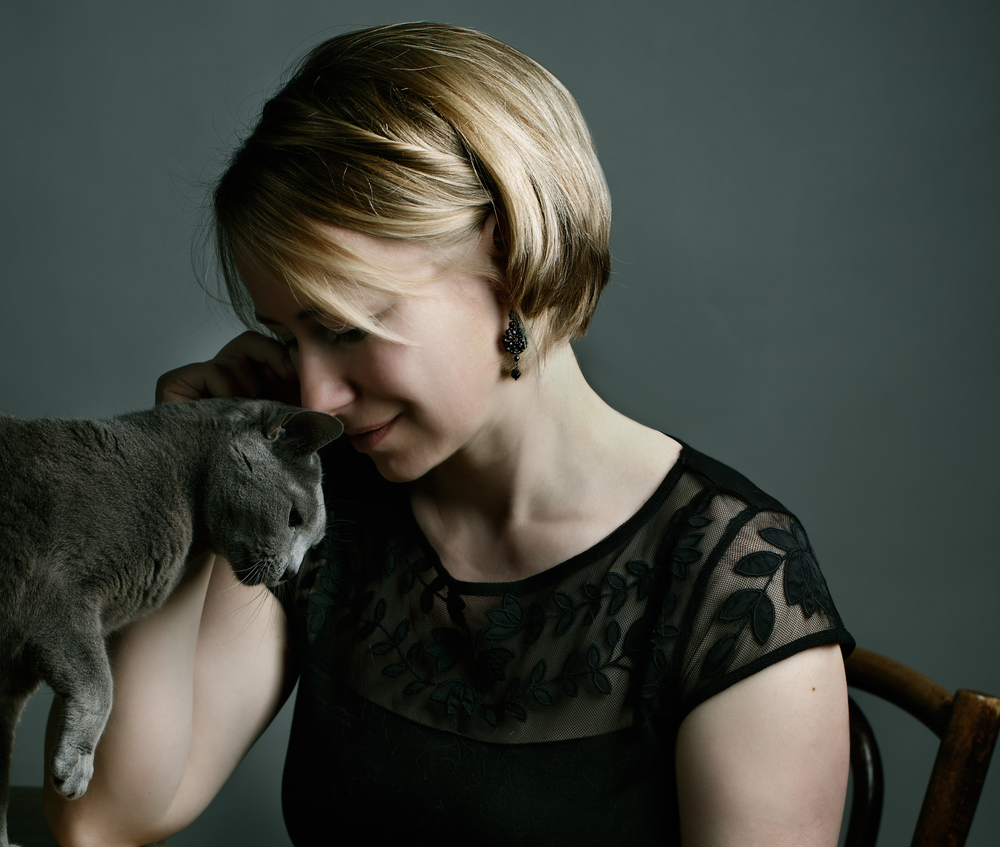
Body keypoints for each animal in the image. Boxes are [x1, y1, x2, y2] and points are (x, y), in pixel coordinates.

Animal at [0, 400, 344, 847]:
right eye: (293, 517)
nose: (290, 572)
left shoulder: (12, 676)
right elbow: (100, 683)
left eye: (312, 544)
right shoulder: (57, 595)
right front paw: (75, 767)